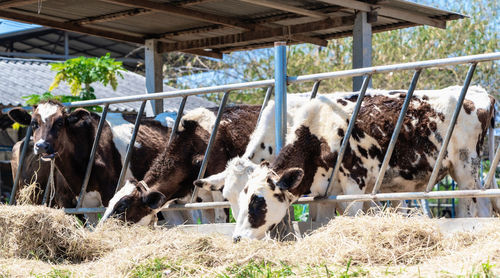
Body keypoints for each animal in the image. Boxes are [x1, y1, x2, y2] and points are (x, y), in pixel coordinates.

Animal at [99, 105, 260, 226]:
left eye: (122, 205)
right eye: (110, 202)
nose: (100, 228)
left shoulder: (220, 190)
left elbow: (221, 220)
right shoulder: (202, 196)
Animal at [230, 86, 496, 240]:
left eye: (257, 202)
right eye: (237, 198)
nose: (237, 238)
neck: (319, 135)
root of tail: (482, 94)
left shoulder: (354, 185)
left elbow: (354, 217)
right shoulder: (324, 192)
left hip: (466, 168)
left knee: (475, 208)